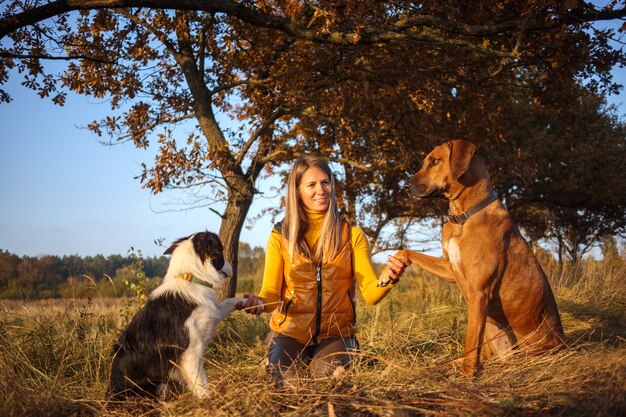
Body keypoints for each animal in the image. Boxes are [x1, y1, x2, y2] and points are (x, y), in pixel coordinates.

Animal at [378, 139, 564, 374]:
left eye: (435, 161)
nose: (405, 186)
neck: (463, 217)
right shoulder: (450, 268)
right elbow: (407, 251)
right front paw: (389, 271)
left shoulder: (479, 292)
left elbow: (470, 343)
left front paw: (467, 377)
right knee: (479, 355)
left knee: (478, 351)